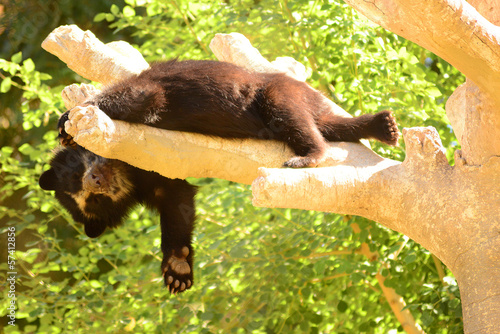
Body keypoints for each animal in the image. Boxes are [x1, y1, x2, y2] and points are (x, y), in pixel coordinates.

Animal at [39, 59, 398, 292]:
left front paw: (67, 124)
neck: (128, 171)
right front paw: (178, 269)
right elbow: (177, 199)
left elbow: (140, 95)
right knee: (330, 126)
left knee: (294, 118)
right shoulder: (154, 171)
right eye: (91, 201)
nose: (97, 180)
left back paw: (309, 156)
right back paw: (386, 127)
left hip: (277, 91)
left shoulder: (147, 124)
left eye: (77, 173)